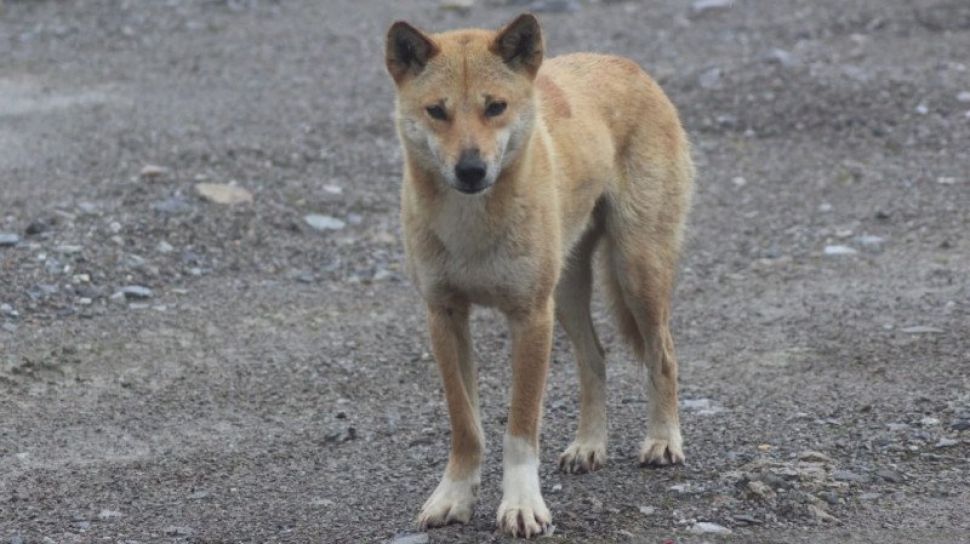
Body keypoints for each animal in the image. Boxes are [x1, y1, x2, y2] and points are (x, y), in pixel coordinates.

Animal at [382, 12, 692, 540]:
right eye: (437, 111)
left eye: (495, 107)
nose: (471, 169)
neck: (472, 225)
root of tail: (628, 66)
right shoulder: (445, 316)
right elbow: (465, 425)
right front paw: (454, 496)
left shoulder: (529, 318)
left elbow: (521, 429)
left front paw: (522, 505)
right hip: (567, 292)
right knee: (595, 358)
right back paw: (589, 445)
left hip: (637, 270)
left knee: (663, 355)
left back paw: (663, 440)